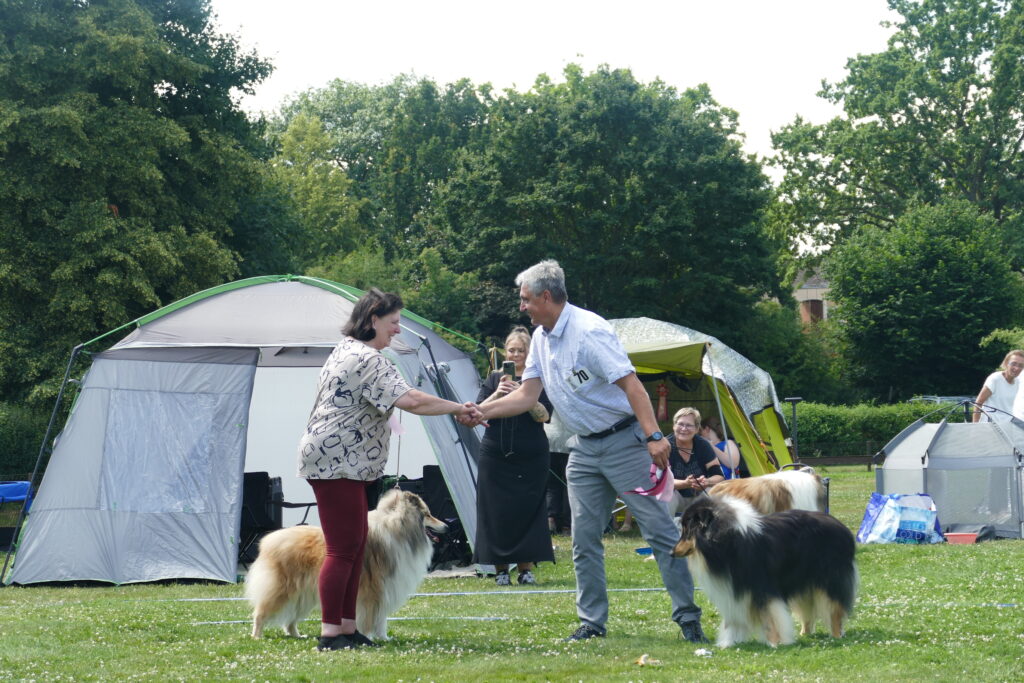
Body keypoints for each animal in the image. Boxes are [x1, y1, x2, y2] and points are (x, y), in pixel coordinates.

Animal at [246, 488, 447, 641]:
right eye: (428, 514)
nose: (447, 526)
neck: (398, 530)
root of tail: (268, 541)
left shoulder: (384, 591)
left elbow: (381, 619)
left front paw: (384, 638)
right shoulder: (372, 593)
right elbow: (369, 619)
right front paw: (369, 638)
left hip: (303, 595)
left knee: (290, 620)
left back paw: (297, 635)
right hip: (281, 591)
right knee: (260, 612)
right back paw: (256, 636)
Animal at [672, 494, 857, 647]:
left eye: (687, 529)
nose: (671, 552)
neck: (726, 541)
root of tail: (843, 528)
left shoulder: (761, 588)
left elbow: (769, 618)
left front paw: (774, 643)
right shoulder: (734, 589)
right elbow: (732, 619)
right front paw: (728, 642)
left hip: (830, 580)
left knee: (835, 610)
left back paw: (836, 635)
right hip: (804, 582)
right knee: (808, 610)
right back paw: (804, 633)